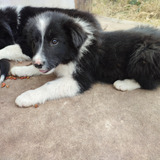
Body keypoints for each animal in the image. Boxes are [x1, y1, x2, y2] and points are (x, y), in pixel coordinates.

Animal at [10, 10, 160, 107]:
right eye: (35, 41)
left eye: (54, 41)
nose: (37, 63)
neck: (74, 53)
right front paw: (21, 70)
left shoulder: (81, 79)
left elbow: (49, 85)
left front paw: (27, 96)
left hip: (145, 53)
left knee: (151, 83)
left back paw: (124, 83)